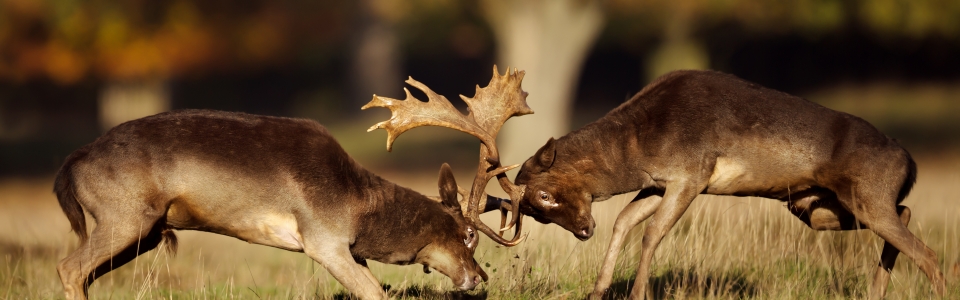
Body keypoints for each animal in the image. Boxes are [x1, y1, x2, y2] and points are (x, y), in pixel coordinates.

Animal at [512, 69, 940, 298]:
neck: (638, 148)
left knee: (927, 252)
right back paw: (876, 289)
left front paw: (637, 293)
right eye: (534, 213)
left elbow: (651, 233)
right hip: (815, 207)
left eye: (544, 194)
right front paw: (597, 290)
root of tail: (909, 162)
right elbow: (624, 221)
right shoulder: (659, 182)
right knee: (905, 212)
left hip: (866, 194)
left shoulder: (692, 173)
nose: (583, 230)